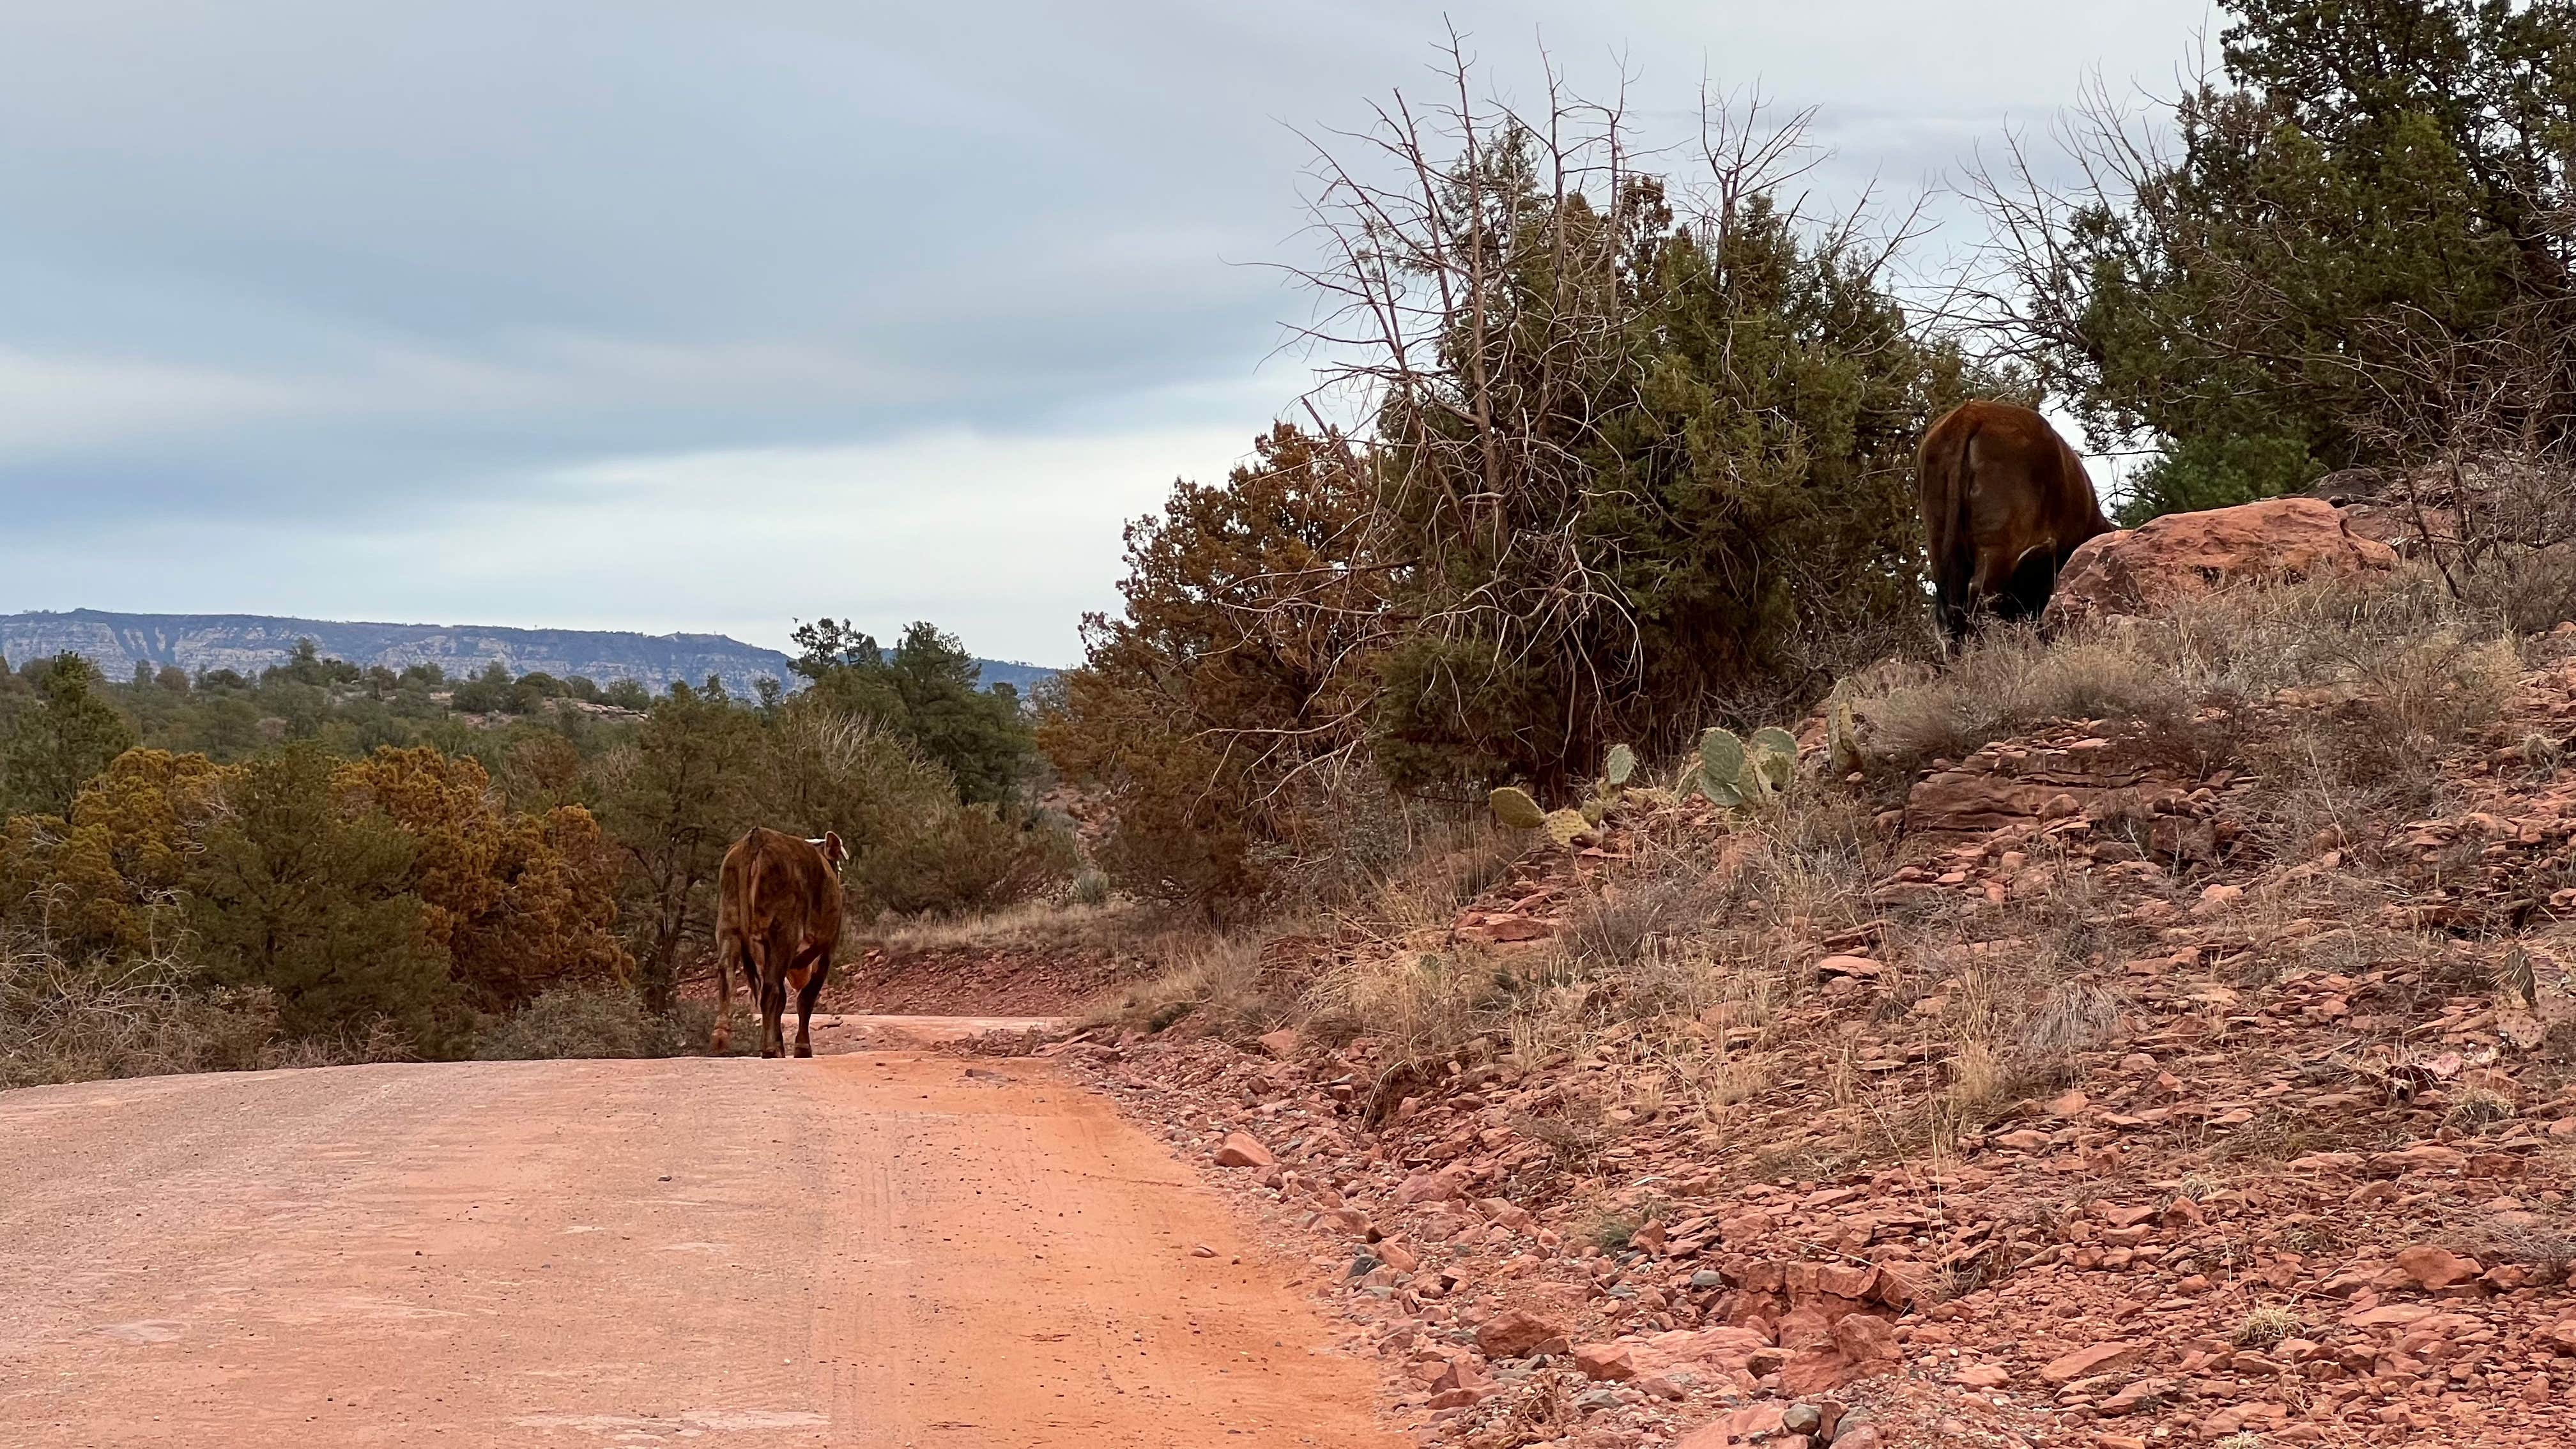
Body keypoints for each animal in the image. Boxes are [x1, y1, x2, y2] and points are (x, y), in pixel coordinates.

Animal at [710, 830, 850, 1057]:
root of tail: (758, 836)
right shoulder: (827, 951)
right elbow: (805, 1000)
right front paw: (801, 1048)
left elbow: (783, 1001)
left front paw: (780, 1045)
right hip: (782, 933)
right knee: (770, 988)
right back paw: (768, 1048)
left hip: (728, 924)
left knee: (727, 974)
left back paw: (720, 1038)